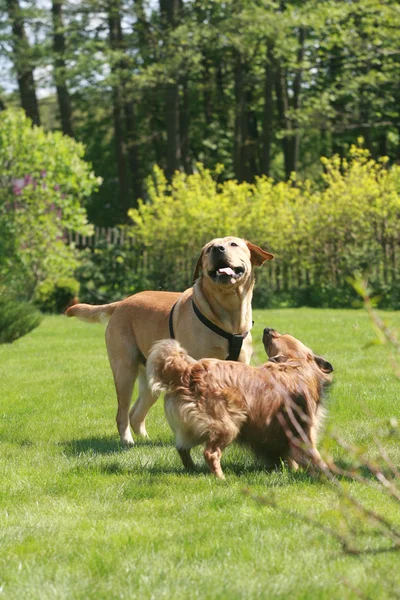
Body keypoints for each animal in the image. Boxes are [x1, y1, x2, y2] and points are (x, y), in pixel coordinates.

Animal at [67, 237, 274, 442]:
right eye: (208, 249)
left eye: (233, 244)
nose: (217, 248)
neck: (229, 313)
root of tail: (122, 303)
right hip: (124, 371)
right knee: (122, 414)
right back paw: (127, 440)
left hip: (151, 381)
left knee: (136, 413)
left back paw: (145, 439)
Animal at [145, 328, 332, 478]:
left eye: (276, 337)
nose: (267, 329)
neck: (294, 365)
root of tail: (188, 371)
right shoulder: (303, 430)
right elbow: (312, 456)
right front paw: (324, 473)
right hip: (227, 424)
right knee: (210, 453)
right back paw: (221, 478)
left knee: (182, 448)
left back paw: (193, 469)